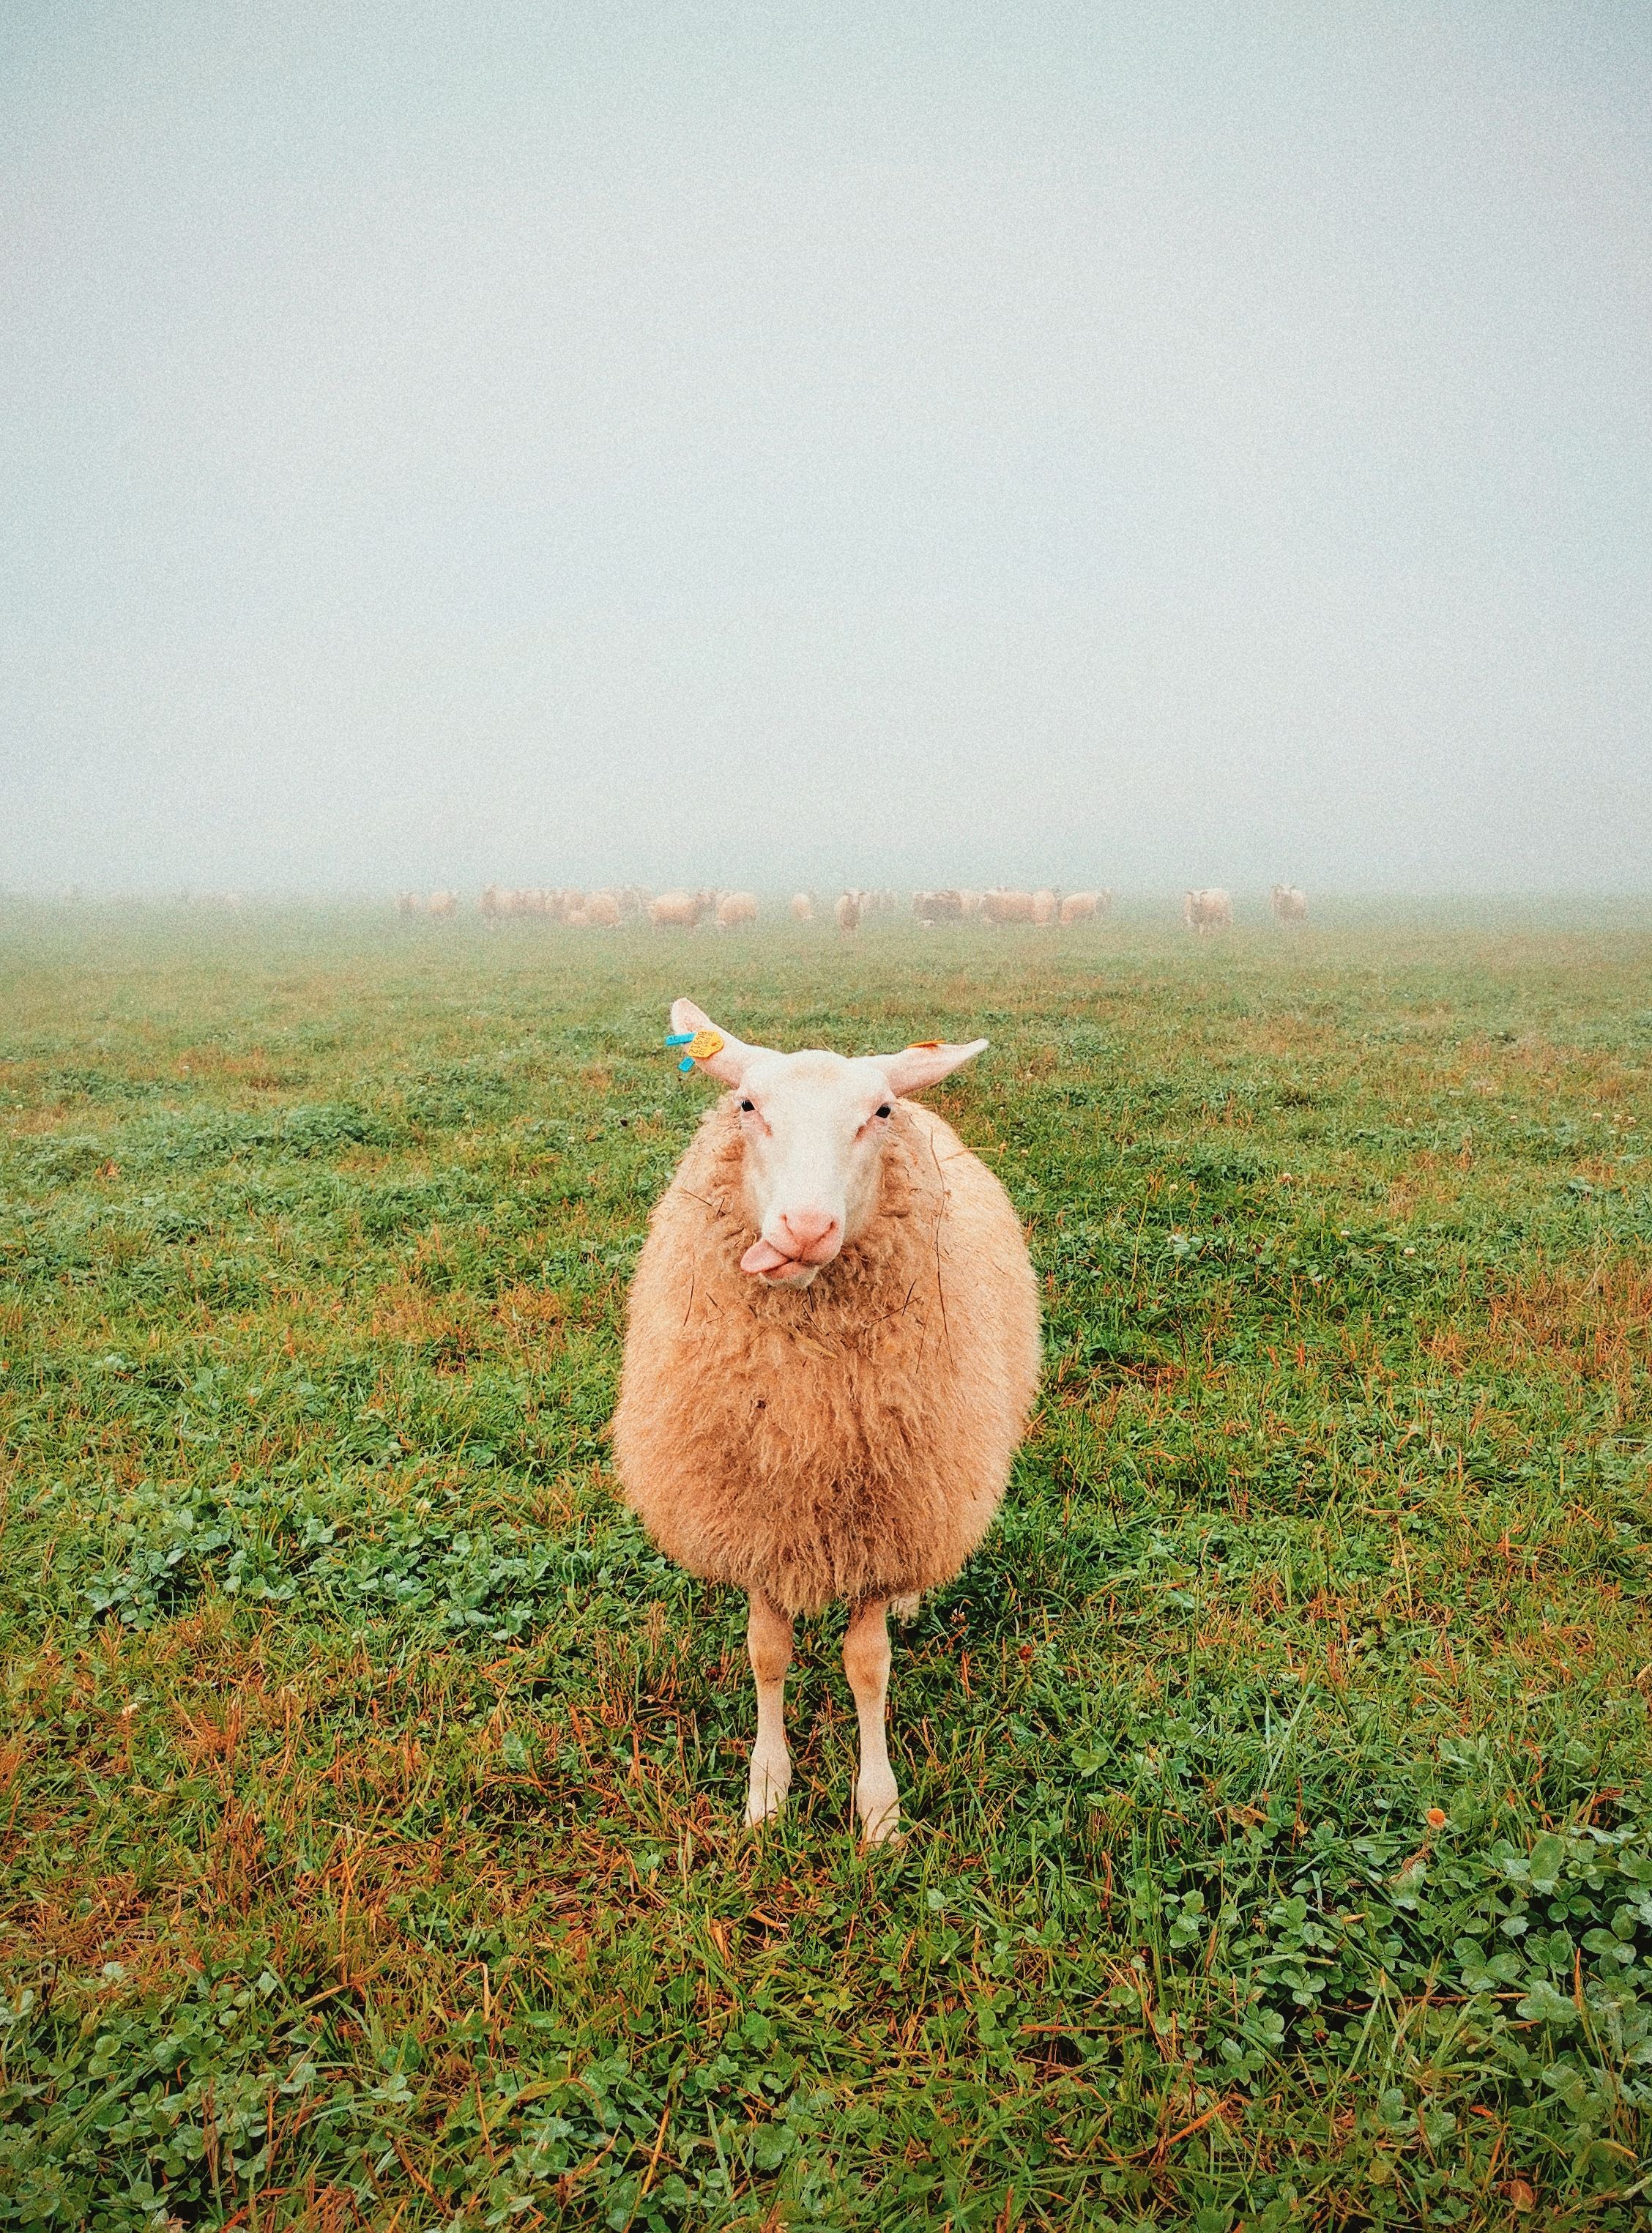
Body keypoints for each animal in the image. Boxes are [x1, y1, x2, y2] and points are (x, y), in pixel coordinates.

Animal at [613, 1000, 1040, 1842]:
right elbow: (767, 1654)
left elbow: (867, 1665)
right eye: (748, 1105)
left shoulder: (883, 1522)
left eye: (879, 1113)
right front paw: (767, 1791)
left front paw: (879, 1811)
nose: (805, 1229)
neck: (805, 1421)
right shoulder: (759, 1519)